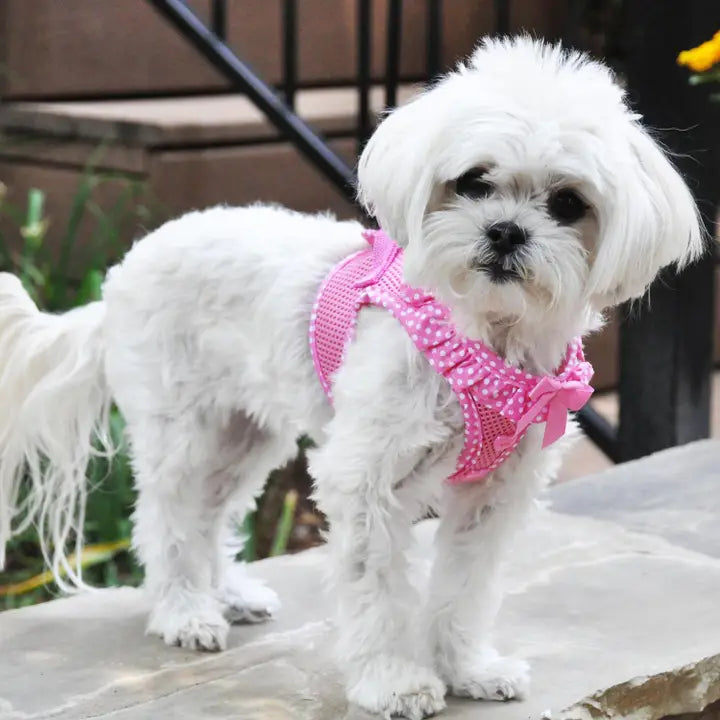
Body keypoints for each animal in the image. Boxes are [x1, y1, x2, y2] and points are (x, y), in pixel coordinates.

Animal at [0, 36, 704, 716]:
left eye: (568, 203)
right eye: (473, 181)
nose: (505, 232)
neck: (485, 333)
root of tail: (122, 271)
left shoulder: (495, 496)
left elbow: (465, 589)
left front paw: (467, 669)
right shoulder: (368, 480)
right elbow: (380, 591)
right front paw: (393, 683)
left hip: (244, 435)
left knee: (209, 515)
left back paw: (227, 594)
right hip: (184, 430)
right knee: (167, 517)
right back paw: (185, 611)